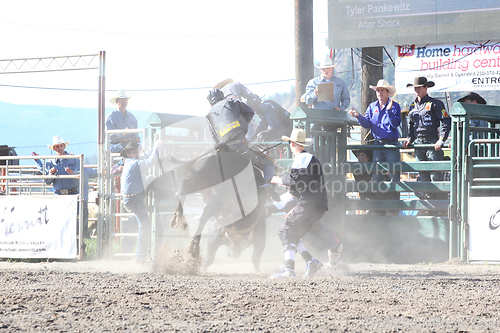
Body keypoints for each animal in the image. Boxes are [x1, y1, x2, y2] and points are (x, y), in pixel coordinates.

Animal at [152, 143, 270, 272]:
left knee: (184, 191)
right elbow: (211, 258)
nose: (234, 254)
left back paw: (177, 217)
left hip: (197, 177)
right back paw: (194, 245)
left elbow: (255, 257)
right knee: (205, 214)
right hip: (218, 196)